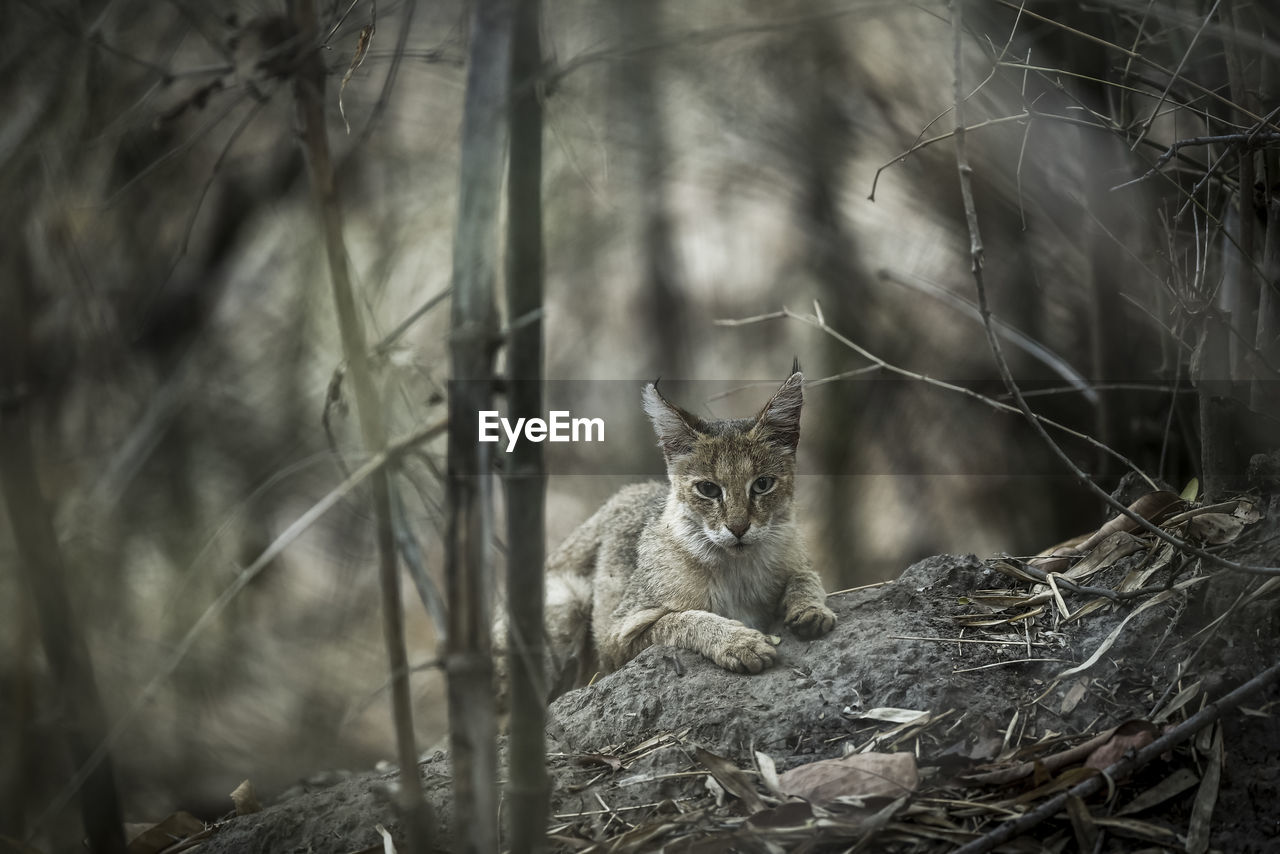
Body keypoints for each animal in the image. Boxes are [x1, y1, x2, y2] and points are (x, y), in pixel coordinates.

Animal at [542, 366, 834, 696]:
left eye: (762, 484)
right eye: (708, 489)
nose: (738, 528)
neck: (736, 567)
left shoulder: (795, 555)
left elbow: (806, 574)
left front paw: (810, 607)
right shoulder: (617, 637)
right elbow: (679, 619)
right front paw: (739, 641)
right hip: (569, 600)